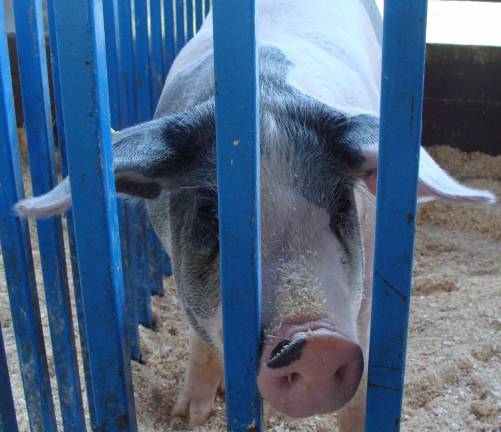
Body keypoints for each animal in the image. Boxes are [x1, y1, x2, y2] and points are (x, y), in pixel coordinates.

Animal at [15, 1, 492, 430]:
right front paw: (188, 416)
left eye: (340, 204)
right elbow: (201, 335)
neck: (265, 89)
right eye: (212, 213)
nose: (317, 341)